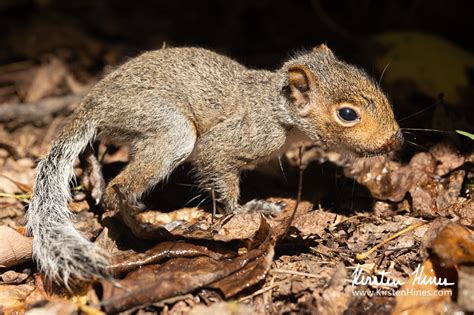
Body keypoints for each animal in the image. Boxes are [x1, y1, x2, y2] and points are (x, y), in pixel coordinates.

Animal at [25, 45, 404, 286]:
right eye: (347, 114)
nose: (396, 141)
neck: (279, 109)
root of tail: (94, 103)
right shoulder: (241, 139)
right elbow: (218, 170)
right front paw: (247, 209)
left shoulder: (270, 152)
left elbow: (272, 168)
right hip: (168, 127)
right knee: (120, 189)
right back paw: (145, 227)